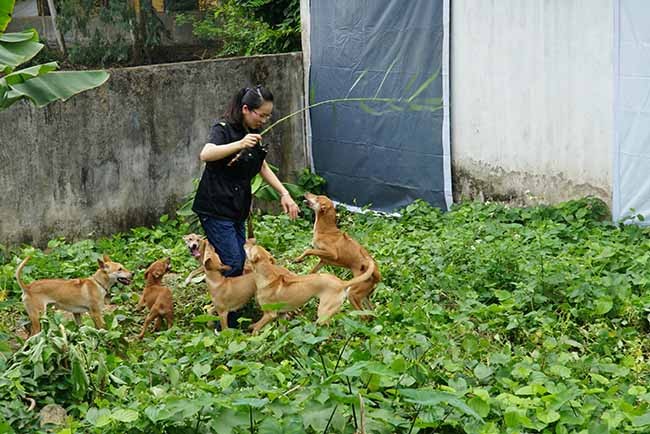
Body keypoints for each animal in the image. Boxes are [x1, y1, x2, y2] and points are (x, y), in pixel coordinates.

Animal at [243, 242, 374, 334]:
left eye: (251, 248)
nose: (245, 243)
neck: (267, 274)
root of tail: (341, 283)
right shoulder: (282, 315)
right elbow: (282, 332)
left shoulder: (269, 315)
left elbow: (256, 328)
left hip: (323, 314)